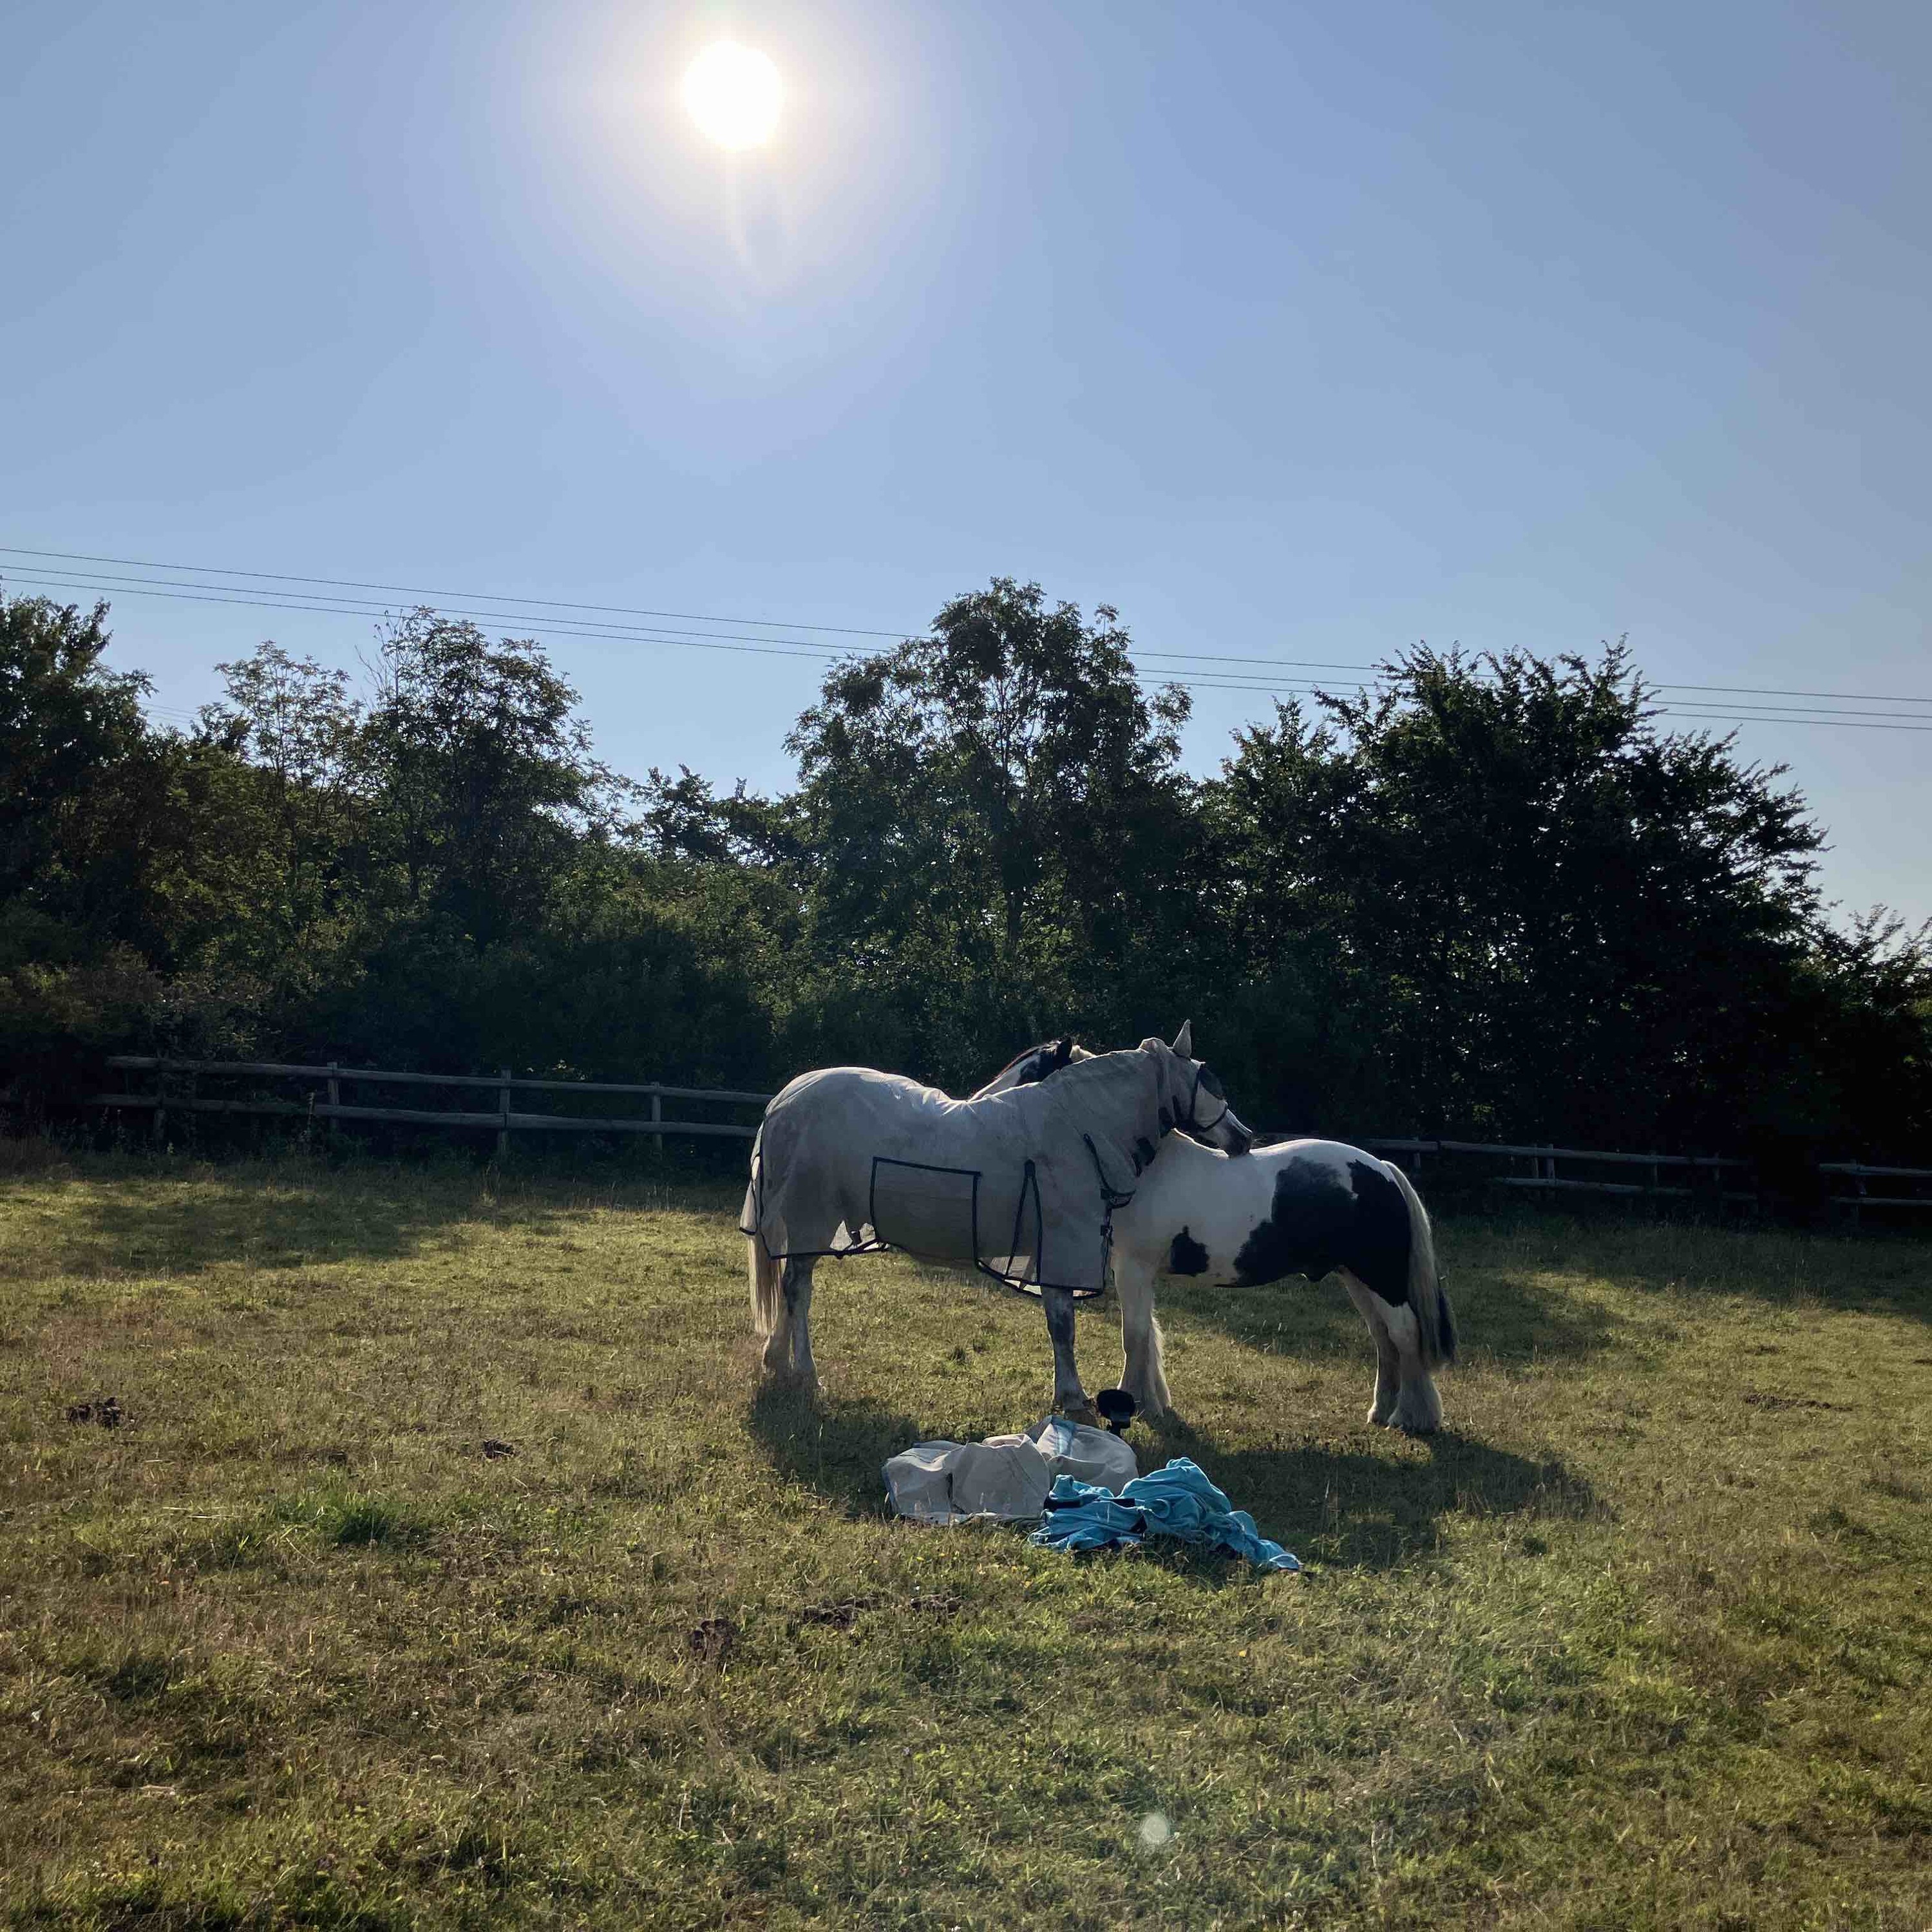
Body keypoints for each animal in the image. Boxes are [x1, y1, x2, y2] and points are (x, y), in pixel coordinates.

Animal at [744, 1025, 1253, 1424]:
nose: (1244, 1137)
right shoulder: (1060, 1246)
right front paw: (1073, 1399)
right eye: (1210, 1081)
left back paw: (778, 1360)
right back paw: (805, 1372)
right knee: (798, 1290)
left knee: (791, 1285)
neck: (1077, 1125)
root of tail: (786, 1099)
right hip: (811, 1216)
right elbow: (1063, 1325)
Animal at [973, 1042, 1458, 1432]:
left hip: (1379, 1277)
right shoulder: (1136, 1272)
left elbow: (1134, 1336)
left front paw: (1133, 1403)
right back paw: (1381, 1411)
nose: (976, 1105)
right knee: (1383, 1338)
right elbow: (1147, 1334)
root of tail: (1382, 1169)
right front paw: (1153, 1403)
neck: (1146, 1171)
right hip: (1357, 1278)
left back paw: (1411, 1417)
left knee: (1404, 1333)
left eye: (1026, 1076)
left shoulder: (1133, 1268)